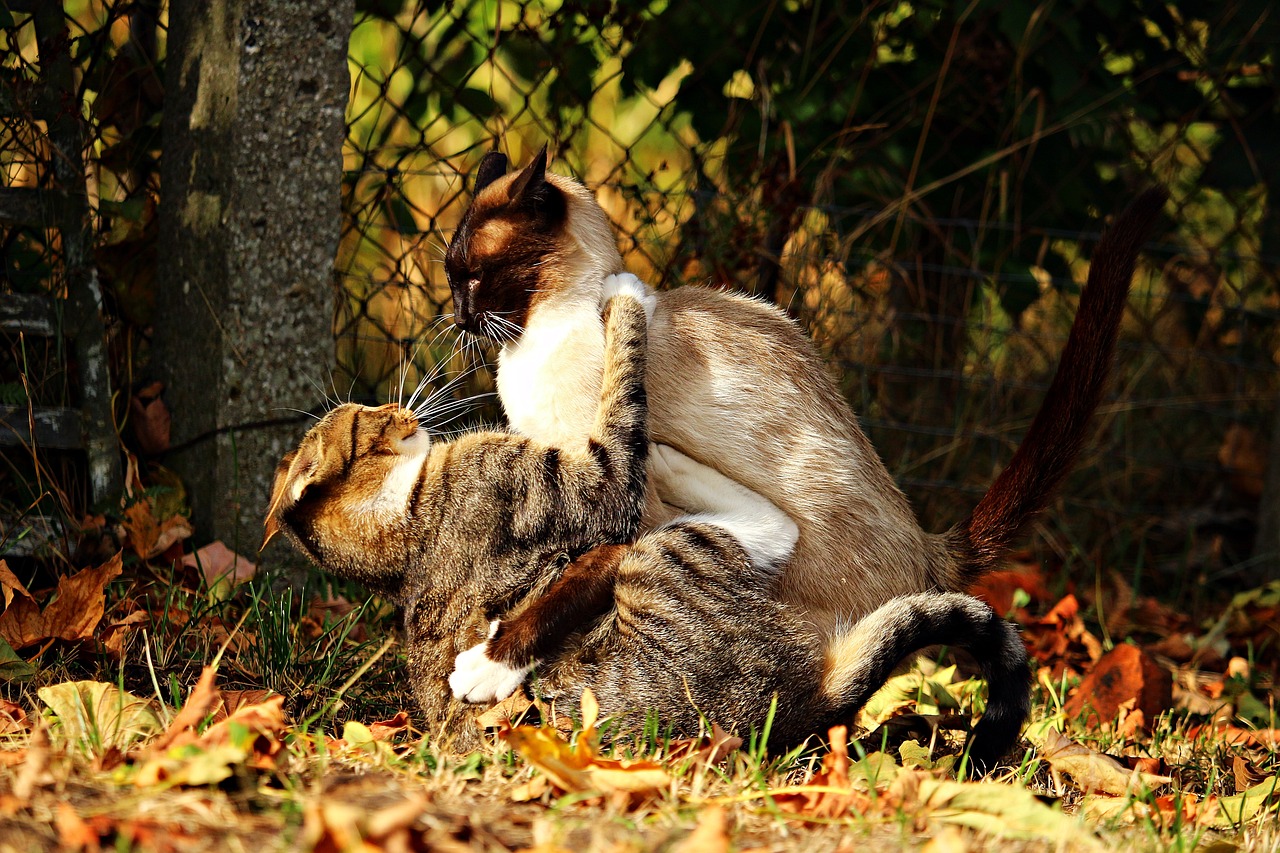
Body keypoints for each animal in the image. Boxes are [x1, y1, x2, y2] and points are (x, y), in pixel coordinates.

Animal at [262, 284, 1029, 763]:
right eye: (368, 418)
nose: (399, 408)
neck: (406, 529)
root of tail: (799, 702)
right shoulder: (590, 487)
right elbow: (620, 394)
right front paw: (626, 305)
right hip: (667, 557)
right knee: (763, 522)